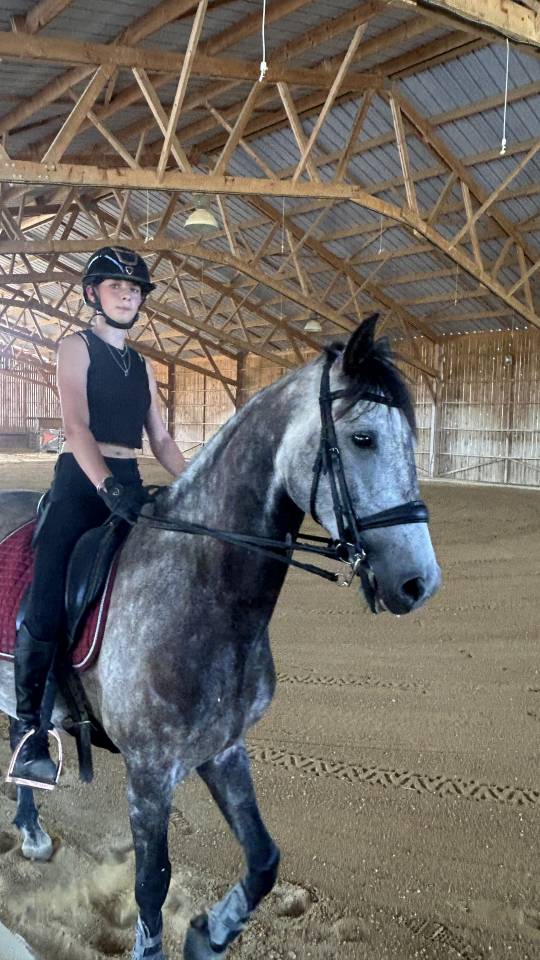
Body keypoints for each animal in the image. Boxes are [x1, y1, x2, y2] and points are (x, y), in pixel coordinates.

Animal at [0, 316, 440, 959]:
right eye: (363, 439)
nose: (419, 583)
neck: (203, 594)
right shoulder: (150, 773)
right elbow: (151, 883)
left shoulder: (224, 749)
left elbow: (264, 859)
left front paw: (211, 932)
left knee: (20, 731)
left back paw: (31, 830)